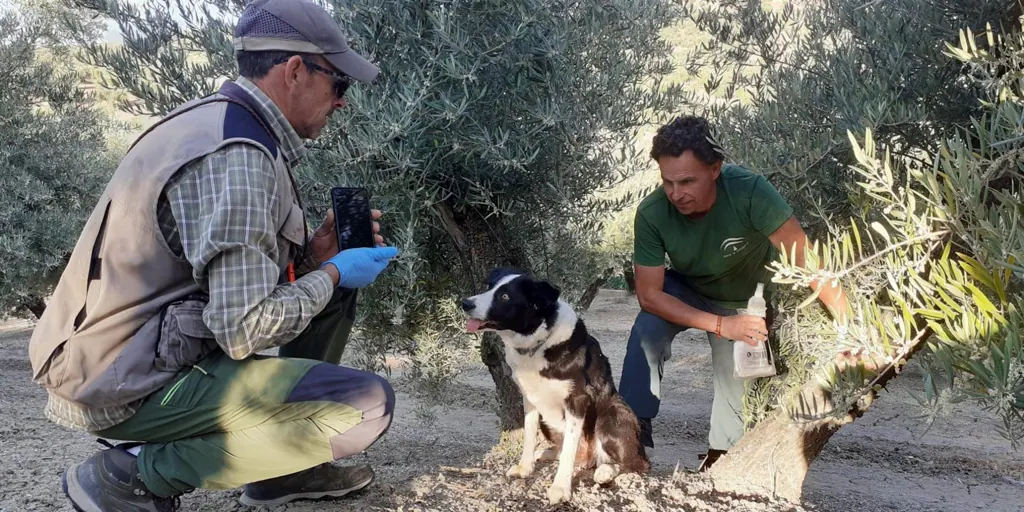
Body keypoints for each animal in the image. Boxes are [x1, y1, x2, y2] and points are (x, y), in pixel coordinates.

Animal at [462, 268, 647, 503]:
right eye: (489, 287)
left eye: (504, 296)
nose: (465, 303)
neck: (536, 343)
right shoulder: (529, 398)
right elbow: (529, 434)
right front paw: (525, 467)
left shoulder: (577, 400)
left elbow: (569, 448)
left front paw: (560, 487)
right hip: (547, 419)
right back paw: (547, 454)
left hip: (612, 414)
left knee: (635, 464)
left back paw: (605, 471)